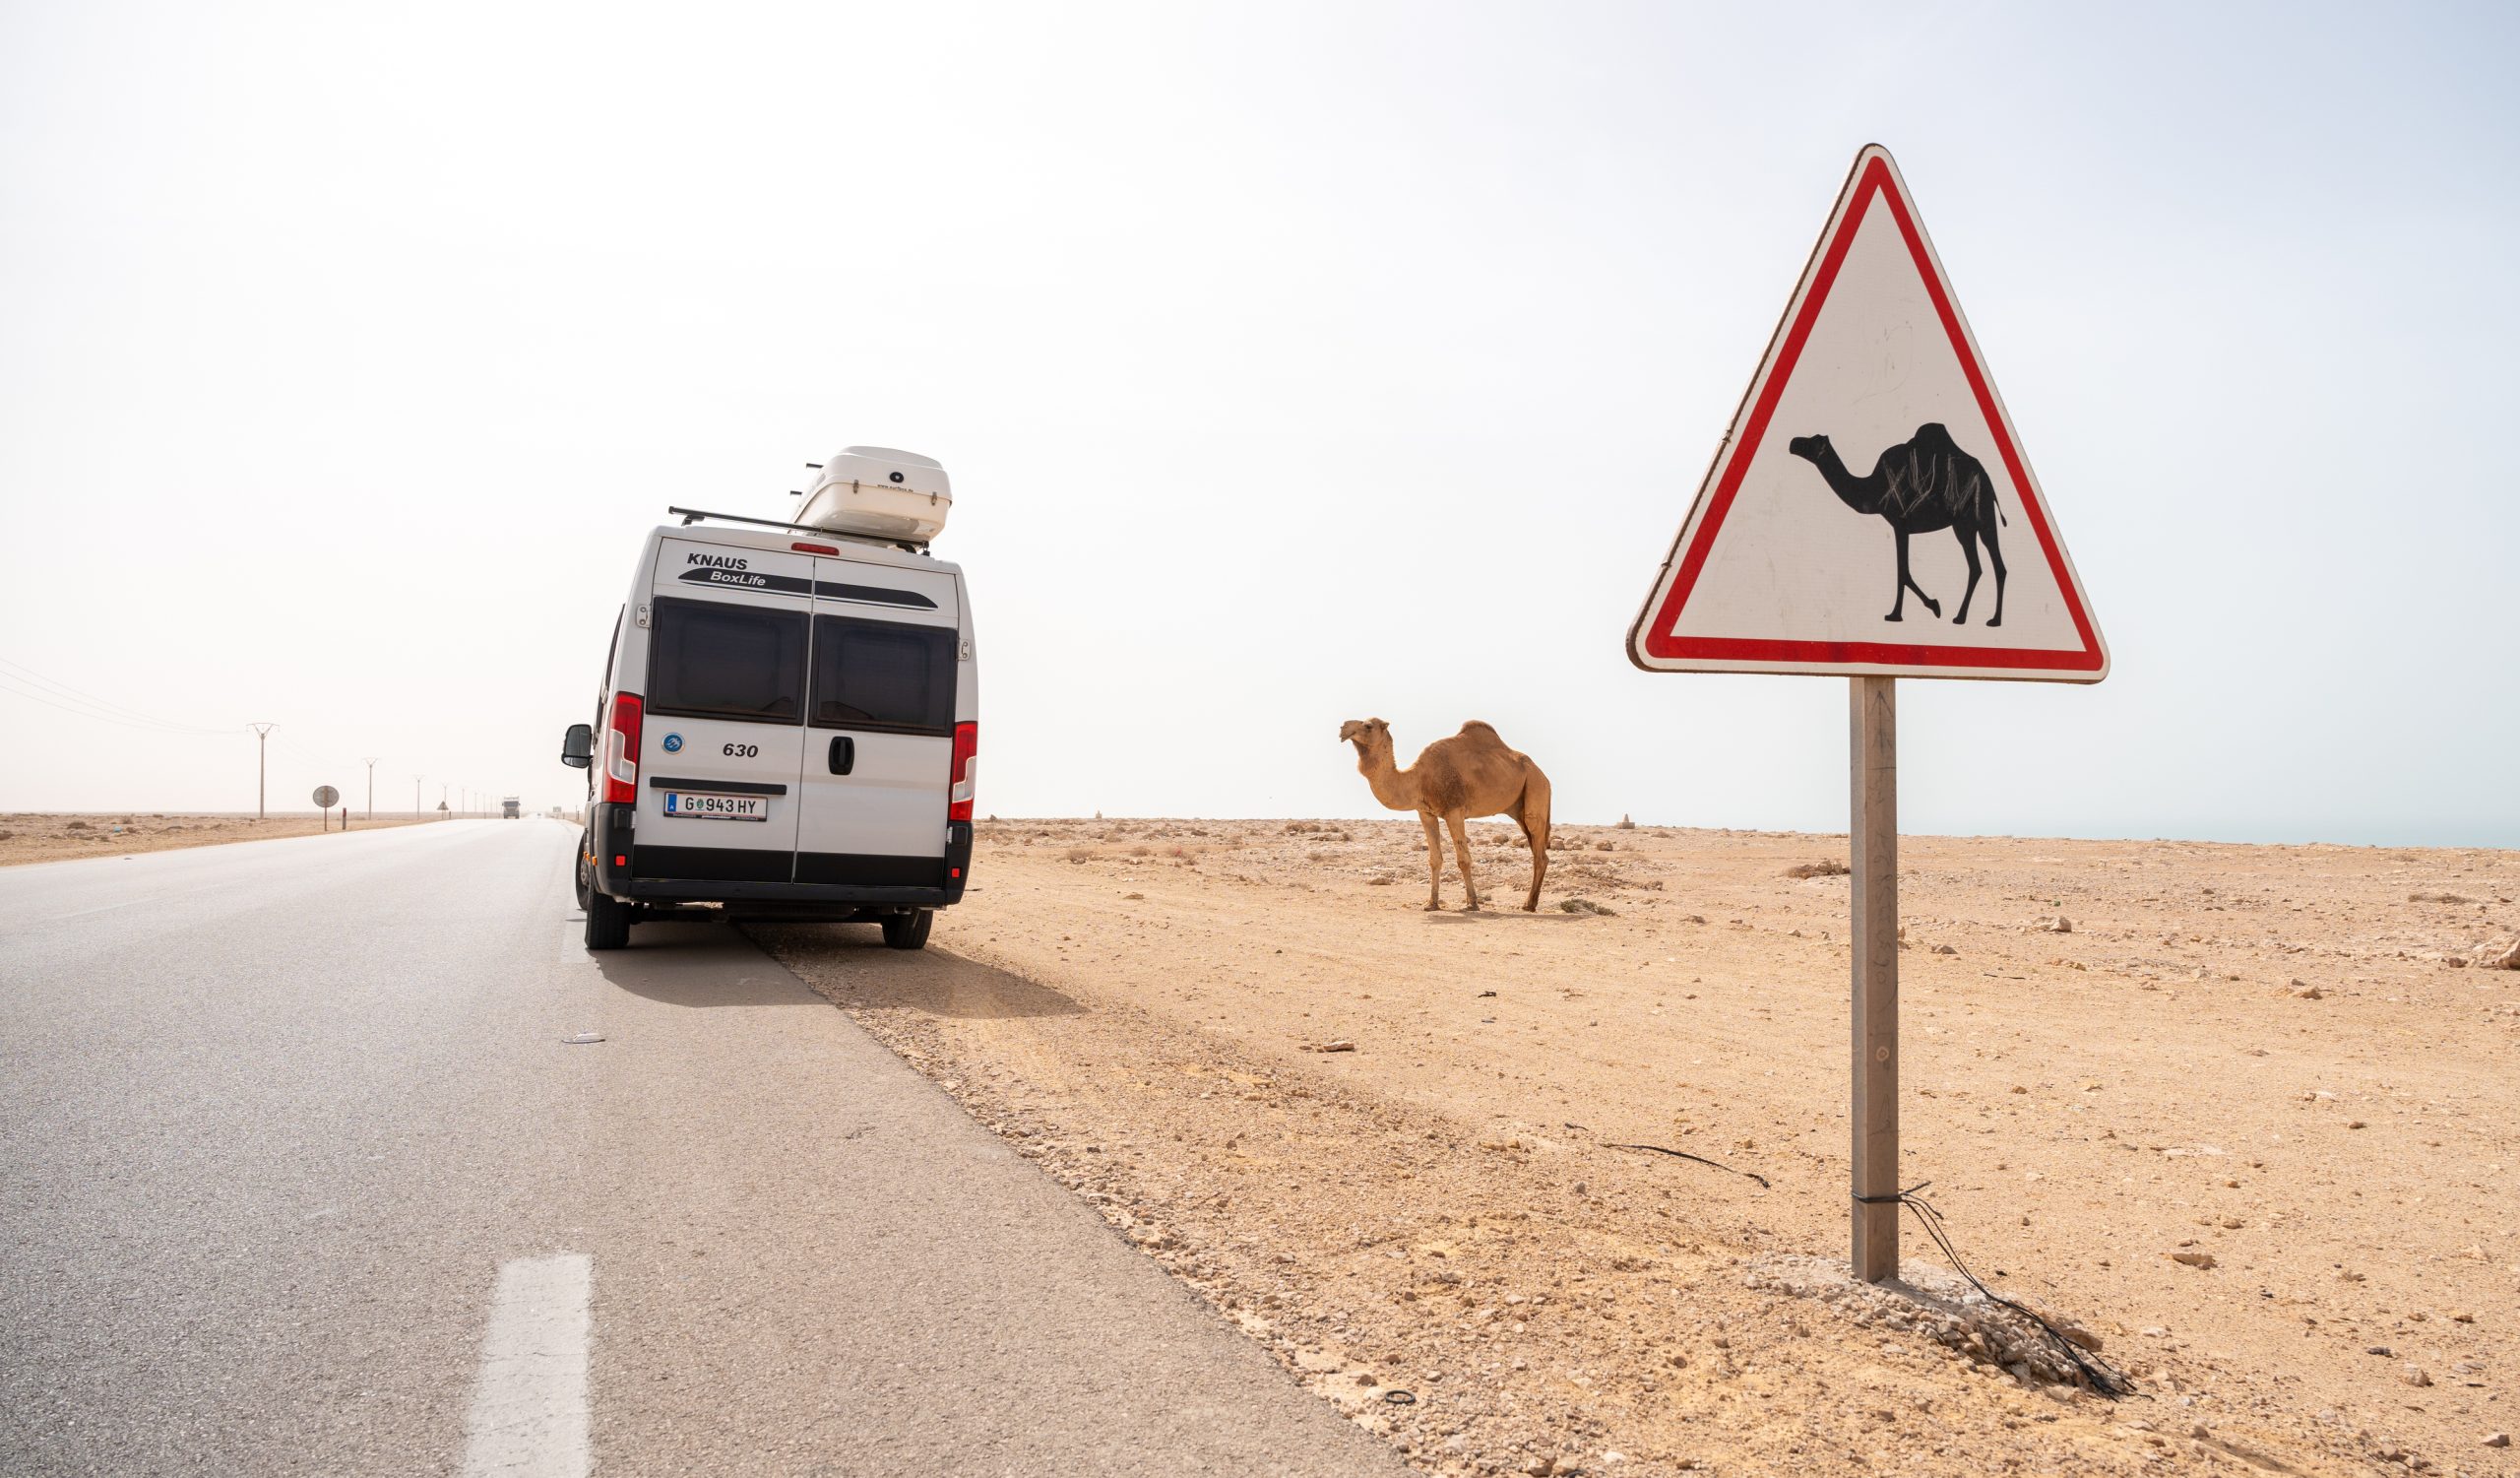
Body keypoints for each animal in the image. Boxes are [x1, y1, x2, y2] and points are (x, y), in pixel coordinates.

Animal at [1338, 718, 1552, 912]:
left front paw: (1472, 903)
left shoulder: (1454, 811)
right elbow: (1435, 859)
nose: (1343, 728)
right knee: (1538, 851)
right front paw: (1431, 903)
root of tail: (1543, 775)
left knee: (1539, 851)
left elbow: (1463, 859)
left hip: (1535, 789)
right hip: (1519, 809)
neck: (1418, 779)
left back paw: (1528, 905)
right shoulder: (1426, 813)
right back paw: (1531, 903)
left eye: (1368, 725)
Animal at [1787, 422, 2009, 626]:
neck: (1872, 489)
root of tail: (1986, 476)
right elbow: (1904, 571)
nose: (1793, 443)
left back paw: (1994, 620)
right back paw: (1961, 617)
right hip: (1963, 525)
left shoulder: (1900, 523)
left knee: (1996, 564)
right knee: (1976, 567)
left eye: (1812, 442)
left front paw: (1900, 614)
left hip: (1982, 513)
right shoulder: (1902, 527)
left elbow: (1903, 571)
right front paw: (1932, 606)